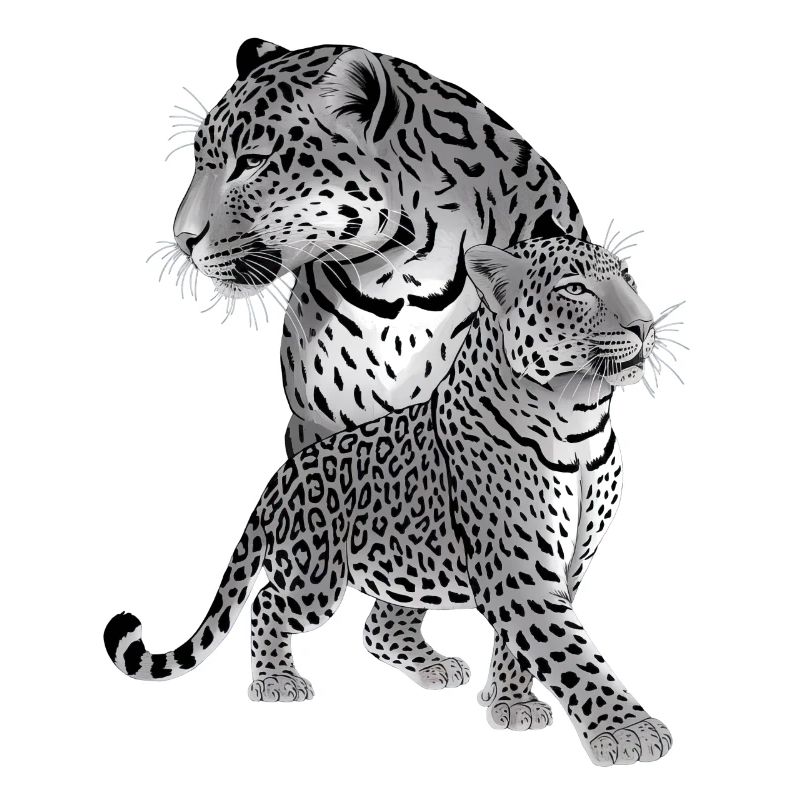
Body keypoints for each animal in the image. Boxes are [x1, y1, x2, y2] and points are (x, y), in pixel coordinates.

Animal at [107, 227, 673, 766]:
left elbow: (525, 644)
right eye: (575, 289)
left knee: (378, 627)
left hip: (411, 567)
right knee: (268, 602)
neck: (579, 422)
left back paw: (433, 666)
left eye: (629, 278)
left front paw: (508, 703)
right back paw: (275, 681)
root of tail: (280, 478)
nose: (645, 325)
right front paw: (629, 732)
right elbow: (569, 653)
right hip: (316, 577)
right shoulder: (517, 568)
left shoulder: (563, 565)